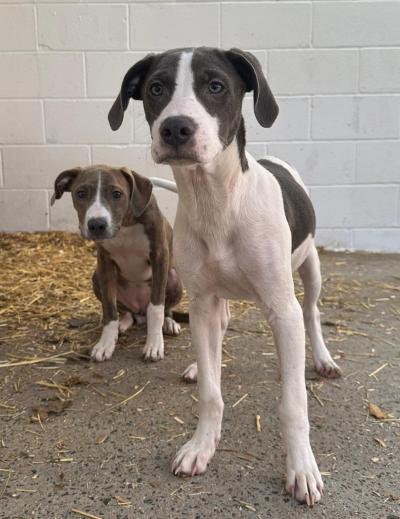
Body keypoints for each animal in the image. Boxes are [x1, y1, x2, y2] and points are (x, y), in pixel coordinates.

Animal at [108, 46, 340, 506]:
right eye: (156, 88)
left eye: (216, 86)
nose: (176, 128)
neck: (216, 202)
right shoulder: (202, 302)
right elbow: (211, 394)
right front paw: (202, 446)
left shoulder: (282, 311)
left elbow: (293, 404)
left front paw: (302, 469)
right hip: (215, 298)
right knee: (222, 326)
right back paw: (201, 366)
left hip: (310, 269)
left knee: (312, 312)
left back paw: (323, 359)